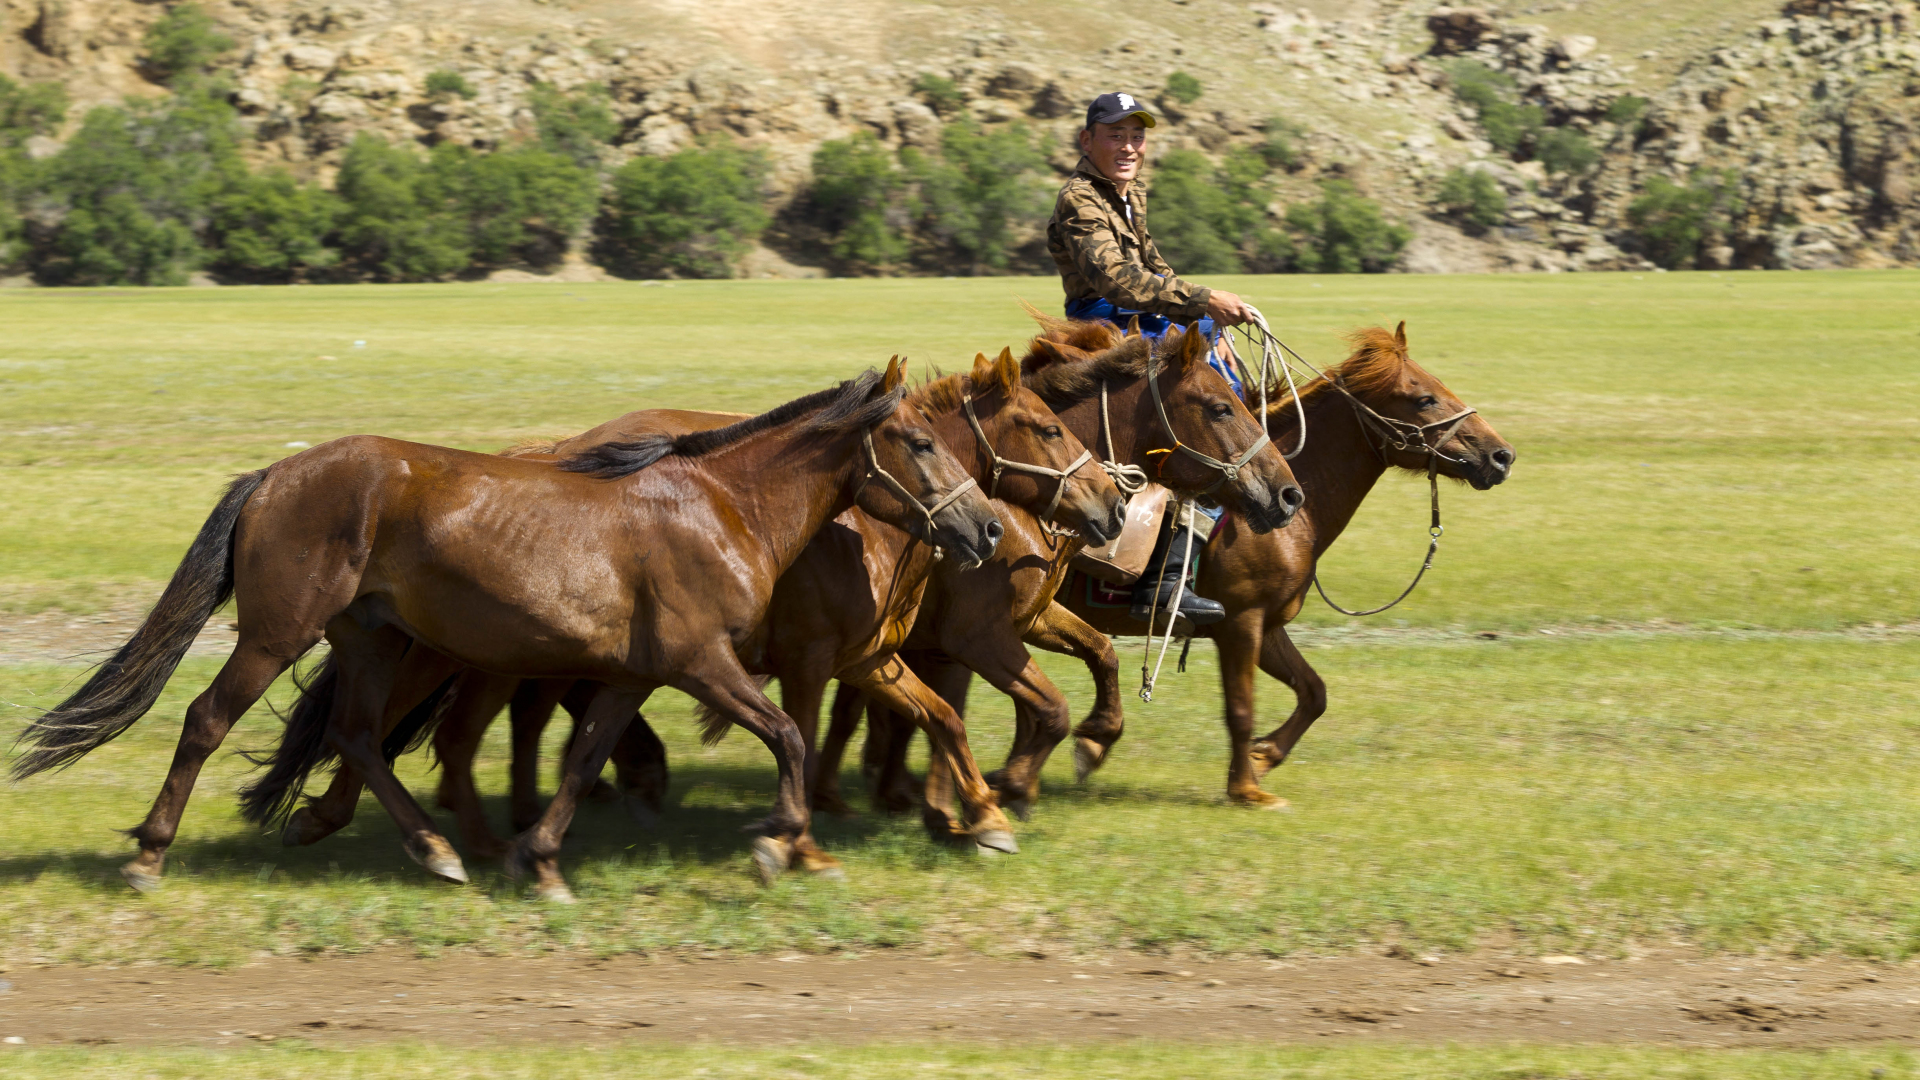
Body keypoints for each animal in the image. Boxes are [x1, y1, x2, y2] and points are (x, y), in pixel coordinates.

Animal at [10, 361, 1002, 899]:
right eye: (919, 442)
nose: (987, 528)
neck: (723, 506)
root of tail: (273, 476)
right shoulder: (702, 662)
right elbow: (790, 733)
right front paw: (778, 841)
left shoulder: (635, 675)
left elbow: (584, 758)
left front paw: (543, 860)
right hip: (277, 633)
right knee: (208, 720)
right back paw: (150, 855)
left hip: (369, 638)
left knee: (358, 736)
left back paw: (440, 850)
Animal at [818, 321, 1309, 821]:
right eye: (1221, 408)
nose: (1288, 493)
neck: (1009, 509)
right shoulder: (973, 635)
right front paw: (996, 792)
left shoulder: (1031, 618)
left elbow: (1099, 656)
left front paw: (1088, 742)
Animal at [1031, 321, 1516, 806]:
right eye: (1425, 398)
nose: (1502, 455)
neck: (1297, 520)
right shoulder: (1240, 624)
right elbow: (1242, 708)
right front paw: (1247, 789)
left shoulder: (1269, 627)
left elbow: (1314, 692)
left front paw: (1263, 758)